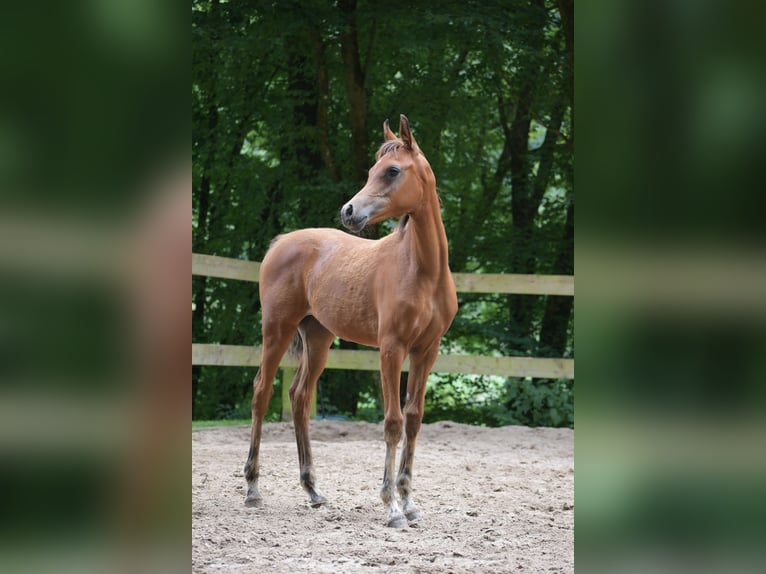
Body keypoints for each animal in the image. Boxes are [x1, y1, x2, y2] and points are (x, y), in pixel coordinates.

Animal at [246, 116, 460, 532]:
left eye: (392, 171)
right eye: (372, 171)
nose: (348, 211)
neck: (423, 271)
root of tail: (280, 243)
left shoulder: (426, 351)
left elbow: (413, 419)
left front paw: (409, 502)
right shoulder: (391, 349)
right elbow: (393, 421)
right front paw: (391, 507)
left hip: (318, 338)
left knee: (299, 396)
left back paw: (313, 490)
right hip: (277, 330)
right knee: (262, 392)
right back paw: (252, 489)